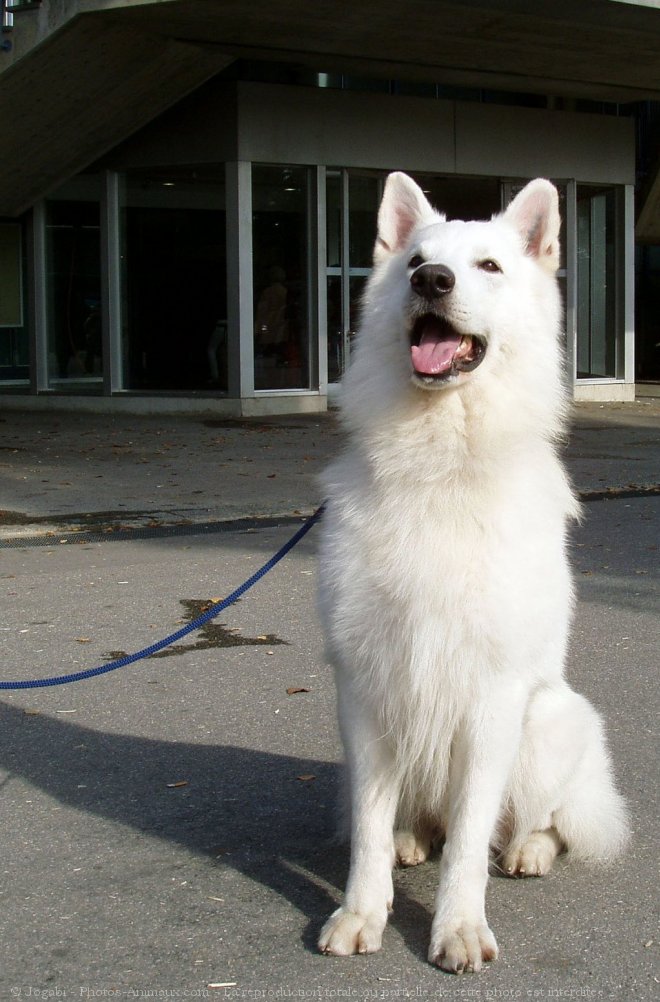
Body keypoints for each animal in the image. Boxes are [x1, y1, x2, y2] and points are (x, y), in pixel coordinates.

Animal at [318, 172, 628, 969]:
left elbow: (468, 841)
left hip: (549, 723)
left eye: (488, 266)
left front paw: (457, 926)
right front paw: (361, 913)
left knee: (539, 820)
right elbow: (368, 829)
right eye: (415, 260)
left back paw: (530, 850)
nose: (431, 279)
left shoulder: (493, 700)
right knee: (411, 821)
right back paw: (409, 838)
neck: (441, 468)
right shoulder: (365, 689)